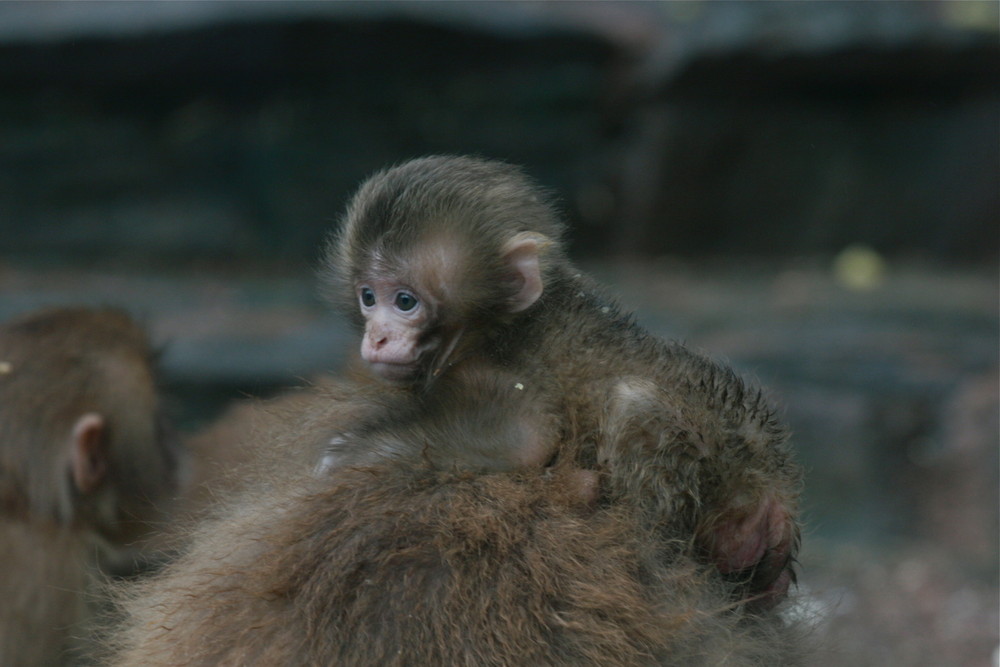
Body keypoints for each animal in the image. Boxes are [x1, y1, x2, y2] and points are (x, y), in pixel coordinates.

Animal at [324, 157, 800, 612]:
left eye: (405, 301)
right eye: (369, 297)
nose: (377, 338)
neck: (503, 326)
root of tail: (774, 489)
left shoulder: (505, 374)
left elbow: (528, 438)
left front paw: (346, 454)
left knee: (635, 403)